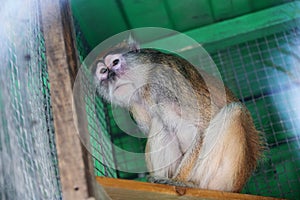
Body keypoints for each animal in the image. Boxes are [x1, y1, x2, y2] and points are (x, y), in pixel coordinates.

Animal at [94, 36, 262, 192]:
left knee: (234, 110)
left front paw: (178, 180)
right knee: (161, 123)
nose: (111, 77)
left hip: (225, 178)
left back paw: (192, 184)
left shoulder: (164, 80)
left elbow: (201, 128)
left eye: (115, 62)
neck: (145, 78)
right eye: (103, 71)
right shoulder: (136, 105)